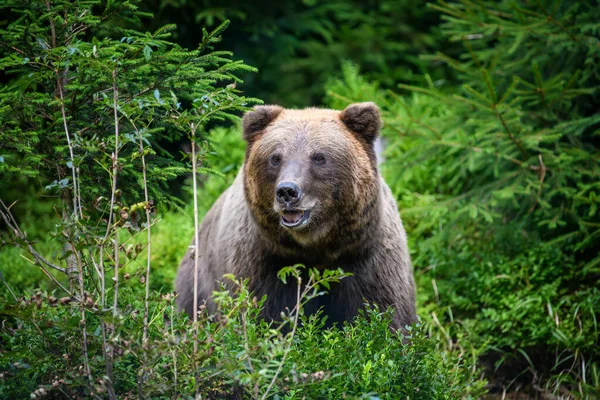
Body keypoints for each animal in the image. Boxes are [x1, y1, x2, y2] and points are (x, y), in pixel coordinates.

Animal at [176, 101, 414, 330]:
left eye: (319, 157)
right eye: (275, 158)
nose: (287, 191)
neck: (314, 249)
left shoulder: (365, 260)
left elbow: (384, 316)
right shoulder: (264, 264)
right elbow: (263, 318)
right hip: (197, 284)